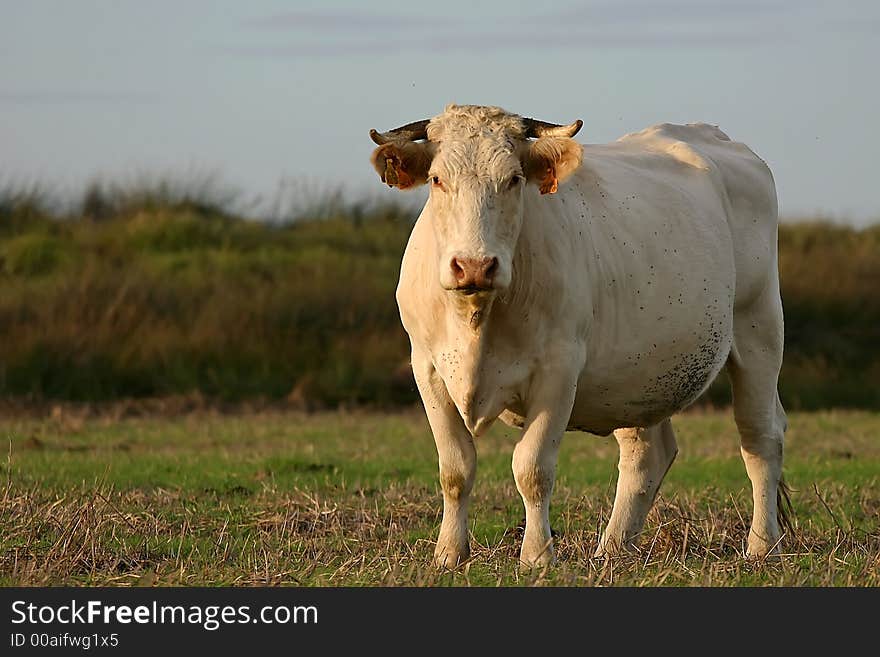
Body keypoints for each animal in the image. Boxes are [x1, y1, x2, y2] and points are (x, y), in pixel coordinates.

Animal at [368, 105, 788, 568]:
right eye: (437, 179)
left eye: (514, 179)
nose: (474, 265)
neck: (477, 318)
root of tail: (714, 137)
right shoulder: (427, 368)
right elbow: (455, 469)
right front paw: (448, 555)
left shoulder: (559, 370)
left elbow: (532, 469)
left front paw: (537, 556)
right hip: (634, 376)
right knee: (647, 455)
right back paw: (613, 549)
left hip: (759, 330)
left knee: (760, 438)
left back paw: (762, 545)